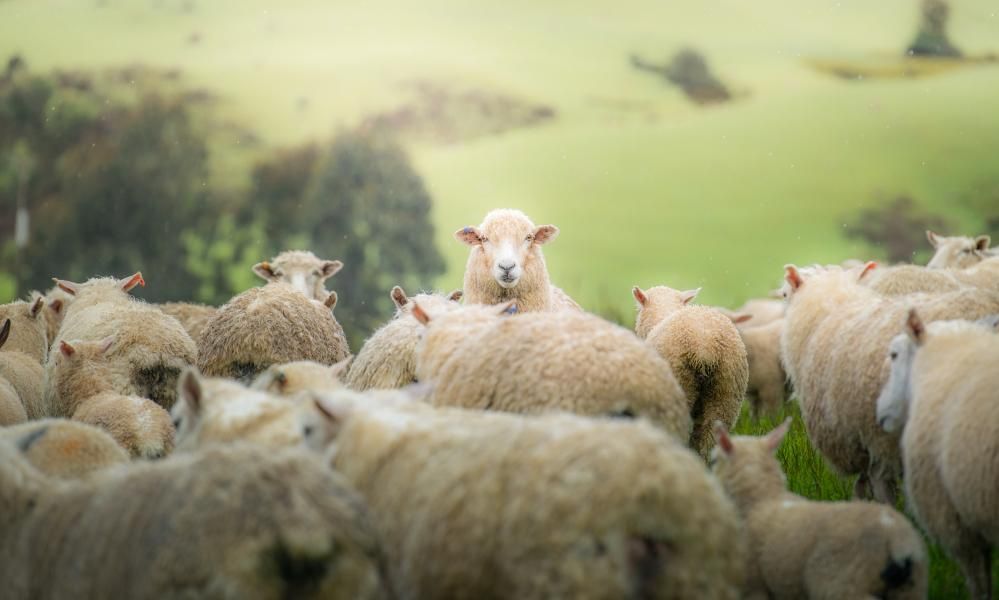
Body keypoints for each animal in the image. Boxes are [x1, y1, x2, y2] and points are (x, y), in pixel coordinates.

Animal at [712, 419, 927, 599]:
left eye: (713, 460)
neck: (763, 498)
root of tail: (894, 538)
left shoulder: (754, 584)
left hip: (842, 584)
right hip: (910, 588)